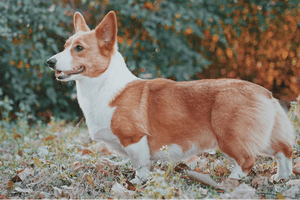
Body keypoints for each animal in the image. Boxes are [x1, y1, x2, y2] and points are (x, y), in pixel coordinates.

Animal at [46, 10, 292, 183]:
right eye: (65, 46)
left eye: (79, 48)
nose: (49, 62)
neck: (103, 84)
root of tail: (264, 92)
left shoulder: (135, 139)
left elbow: (141, 166)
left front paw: (137, 183)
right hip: (262, 136)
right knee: (284, 151)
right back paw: (282, 177)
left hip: (230, 137)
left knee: (247, 161)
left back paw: (230, 183)